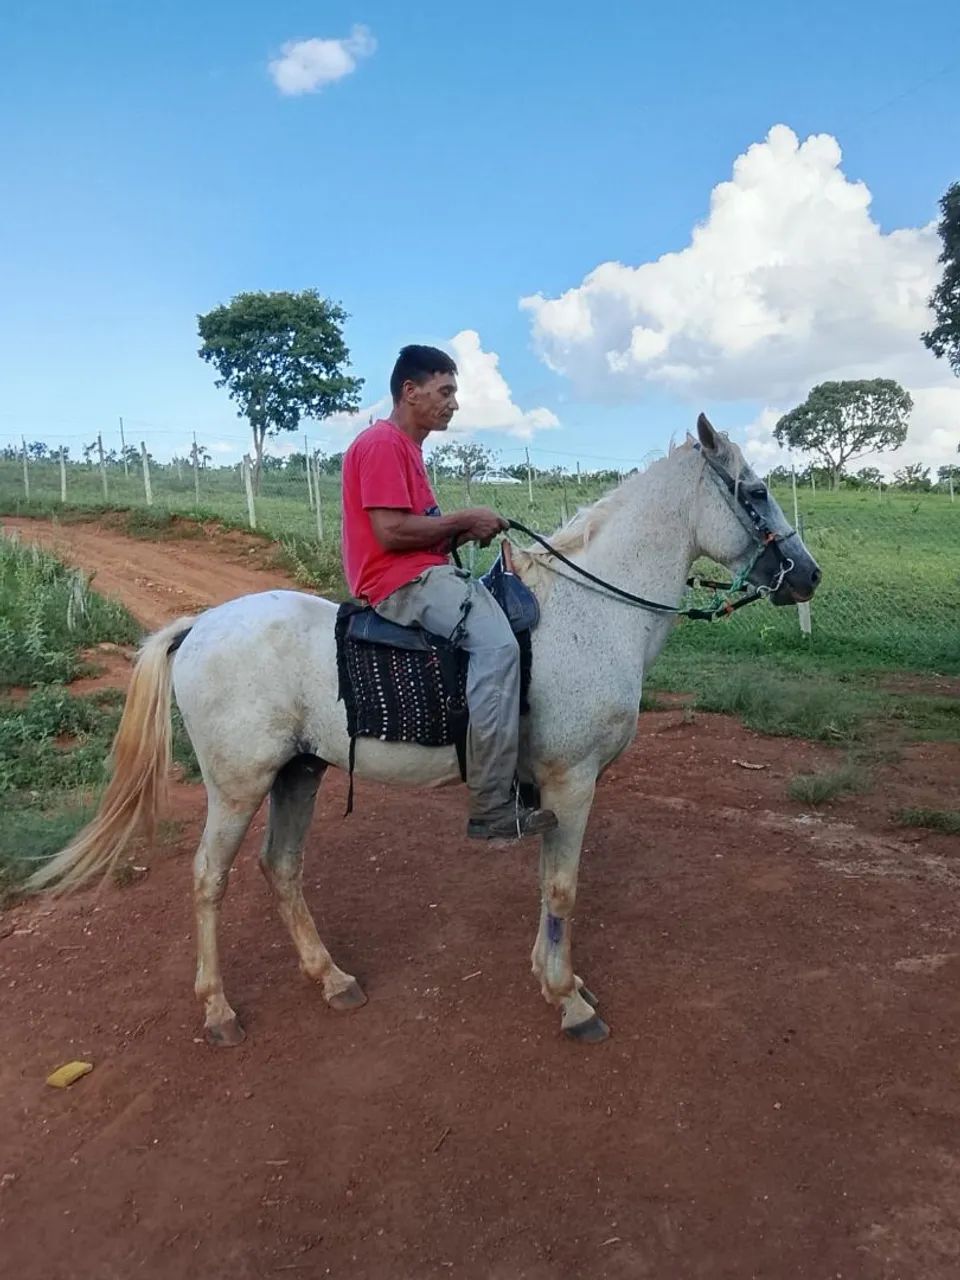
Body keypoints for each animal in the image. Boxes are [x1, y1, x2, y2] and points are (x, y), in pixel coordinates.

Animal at [27, 415, 821, 1046]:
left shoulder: (553, 788)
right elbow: (564, 890)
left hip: (298, 773)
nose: (808, 575)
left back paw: (331, 978)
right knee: (207, 880)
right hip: (238, 785)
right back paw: (218, 1010)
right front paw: (568, 1000)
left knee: (281, 868)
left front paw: (554, 978)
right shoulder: (573, 780)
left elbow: (547, 887)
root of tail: (198, 626)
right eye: (754, 493)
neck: (592, 611)